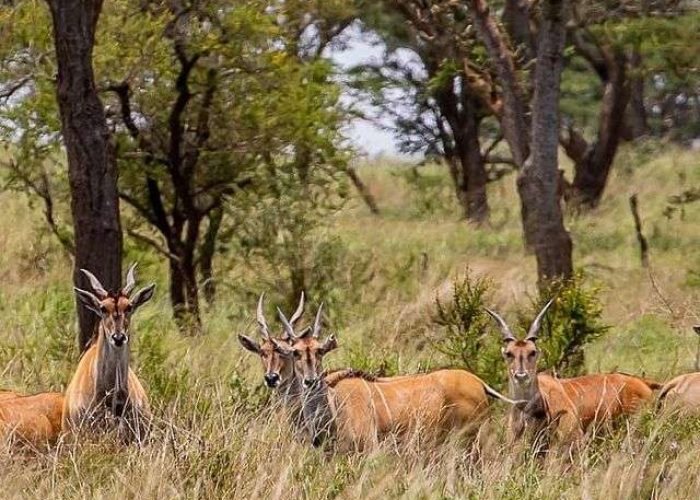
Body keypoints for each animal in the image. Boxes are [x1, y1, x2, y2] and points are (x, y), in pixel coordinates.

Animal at [274, 304, 520, 450]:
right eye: (295, 352)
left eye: (319, 351)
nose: (310, 381)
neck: (333, 404)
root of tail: (479, 383)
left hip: (475, 439)